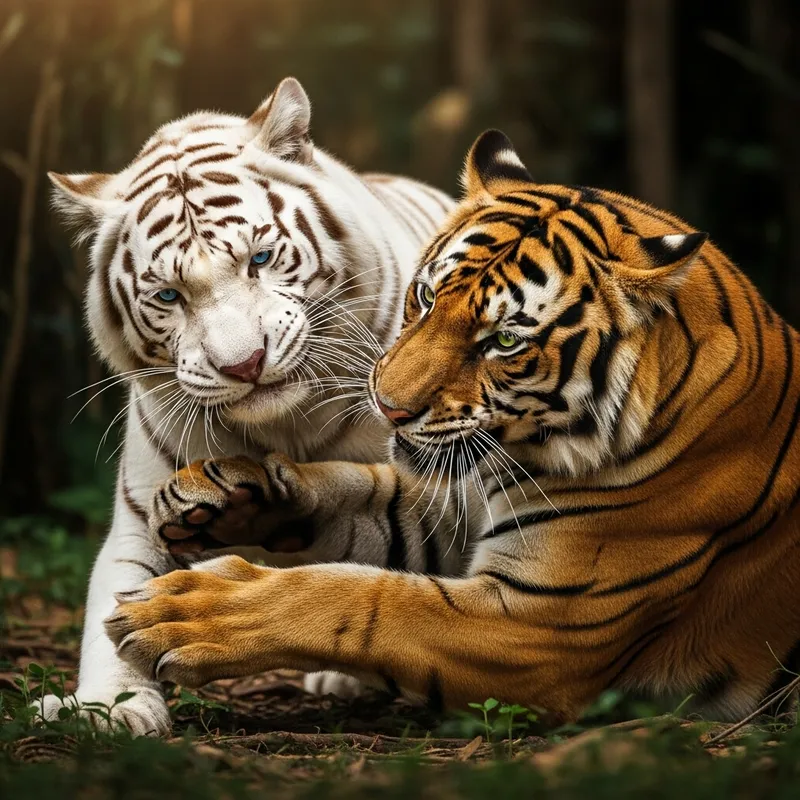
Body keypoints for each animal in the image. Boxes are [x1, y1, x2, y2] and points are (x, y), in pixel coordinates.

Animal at [38, 77, 454, 736]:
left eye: (259, 259)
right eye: (168, 295)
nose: (244, 364)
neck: (283, 424)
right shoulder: (139, 519)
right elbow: (111, 613)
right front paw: (112, 709)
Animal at [105, 128, 800, 726]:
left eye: (503, 341)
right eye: (426, 297)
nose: (388, 405)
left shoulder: (539, 625)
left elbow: (361, 599)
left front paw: (182, 615)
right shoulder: (450, 517)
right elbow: (351, 494)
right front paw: (224, 496)